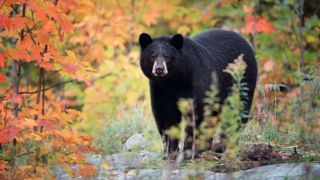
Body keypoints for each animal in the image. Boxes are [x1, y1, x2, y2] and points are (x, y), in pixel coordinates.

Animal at [138, 28, 258, 156]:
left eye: (167, 57)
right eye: (152, 56)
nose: (159, 69)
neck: (173, 81)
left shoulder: (196, 80)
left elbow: (198, 112)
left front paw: (189, 150)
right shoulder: (159, 89)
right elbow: (165, 114)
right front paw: (170, 150)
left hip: (242, 79)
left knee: (238, 109)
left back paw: (226, 144)